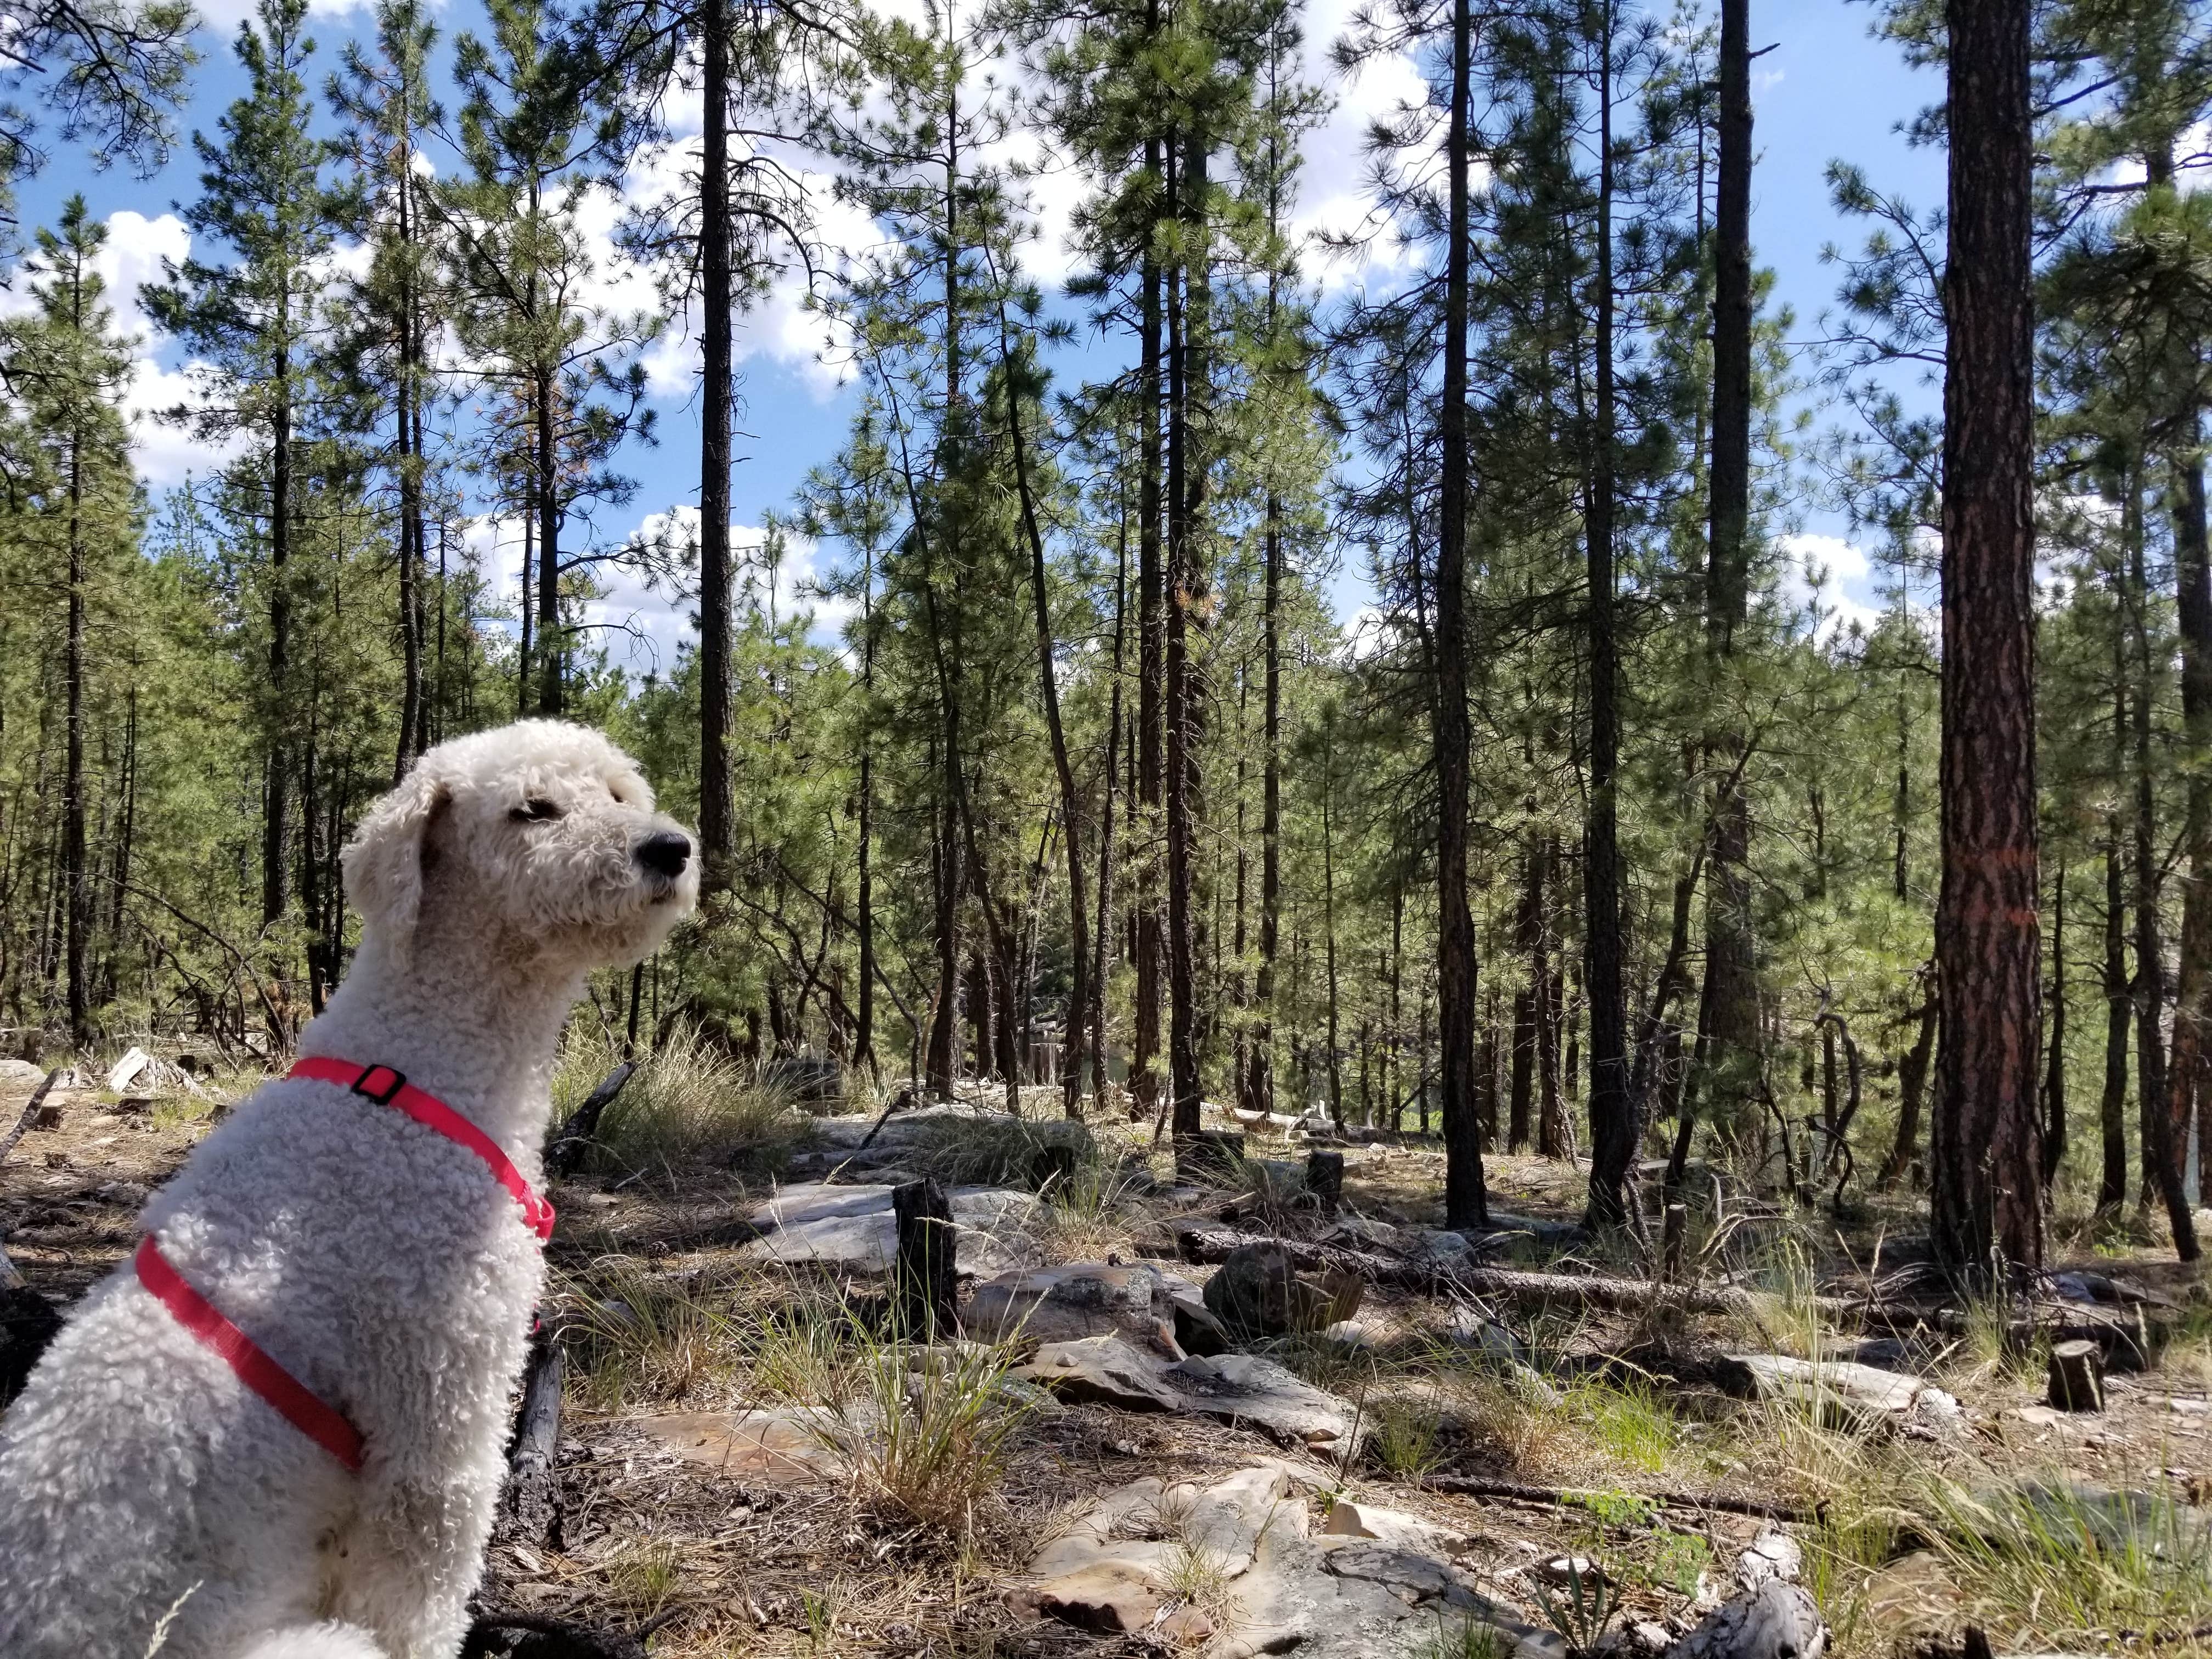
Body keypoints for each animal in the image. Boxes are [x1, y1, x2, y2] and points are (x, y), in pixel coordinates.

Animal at [0, 725, 699, 1659]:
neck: (416, 1072)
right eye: (532, 809)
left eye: (620, 794)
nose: (670, 847)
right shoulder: (438, 1402)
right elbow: (422, 1590)